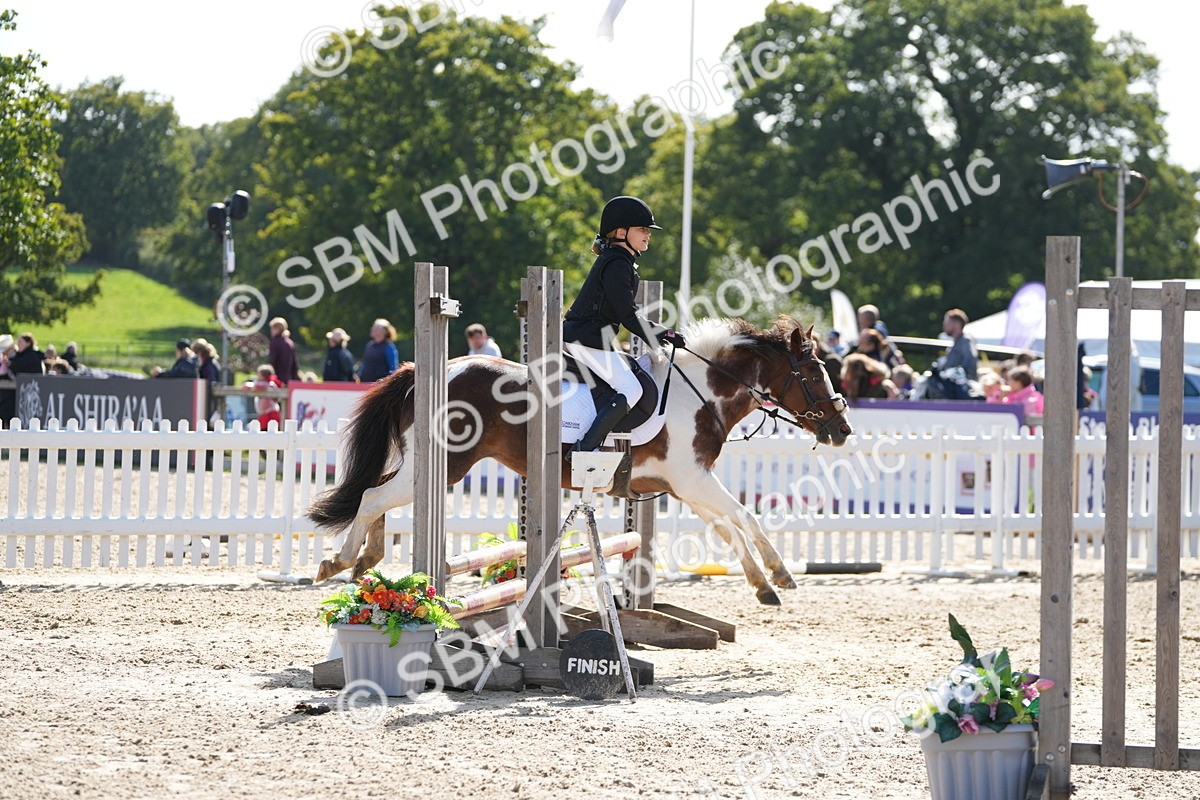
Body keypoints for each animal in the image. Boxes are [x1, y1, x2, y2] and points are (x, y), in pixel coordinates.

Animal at [310, 317, 854, 606]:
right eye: (813, 373)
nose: (842, 429)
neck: (700, 393)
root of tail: (423, 371)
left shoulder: (685, 486)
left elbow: (729, 528)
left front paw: (763, 587)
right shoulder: (695, 479)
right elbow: (747, 517)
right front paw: (780, 575)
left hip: (425, 463)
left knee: (377, 494)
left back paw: (367, 559)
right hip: (447, 465)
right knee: (374, 494)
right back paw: (339, 560)